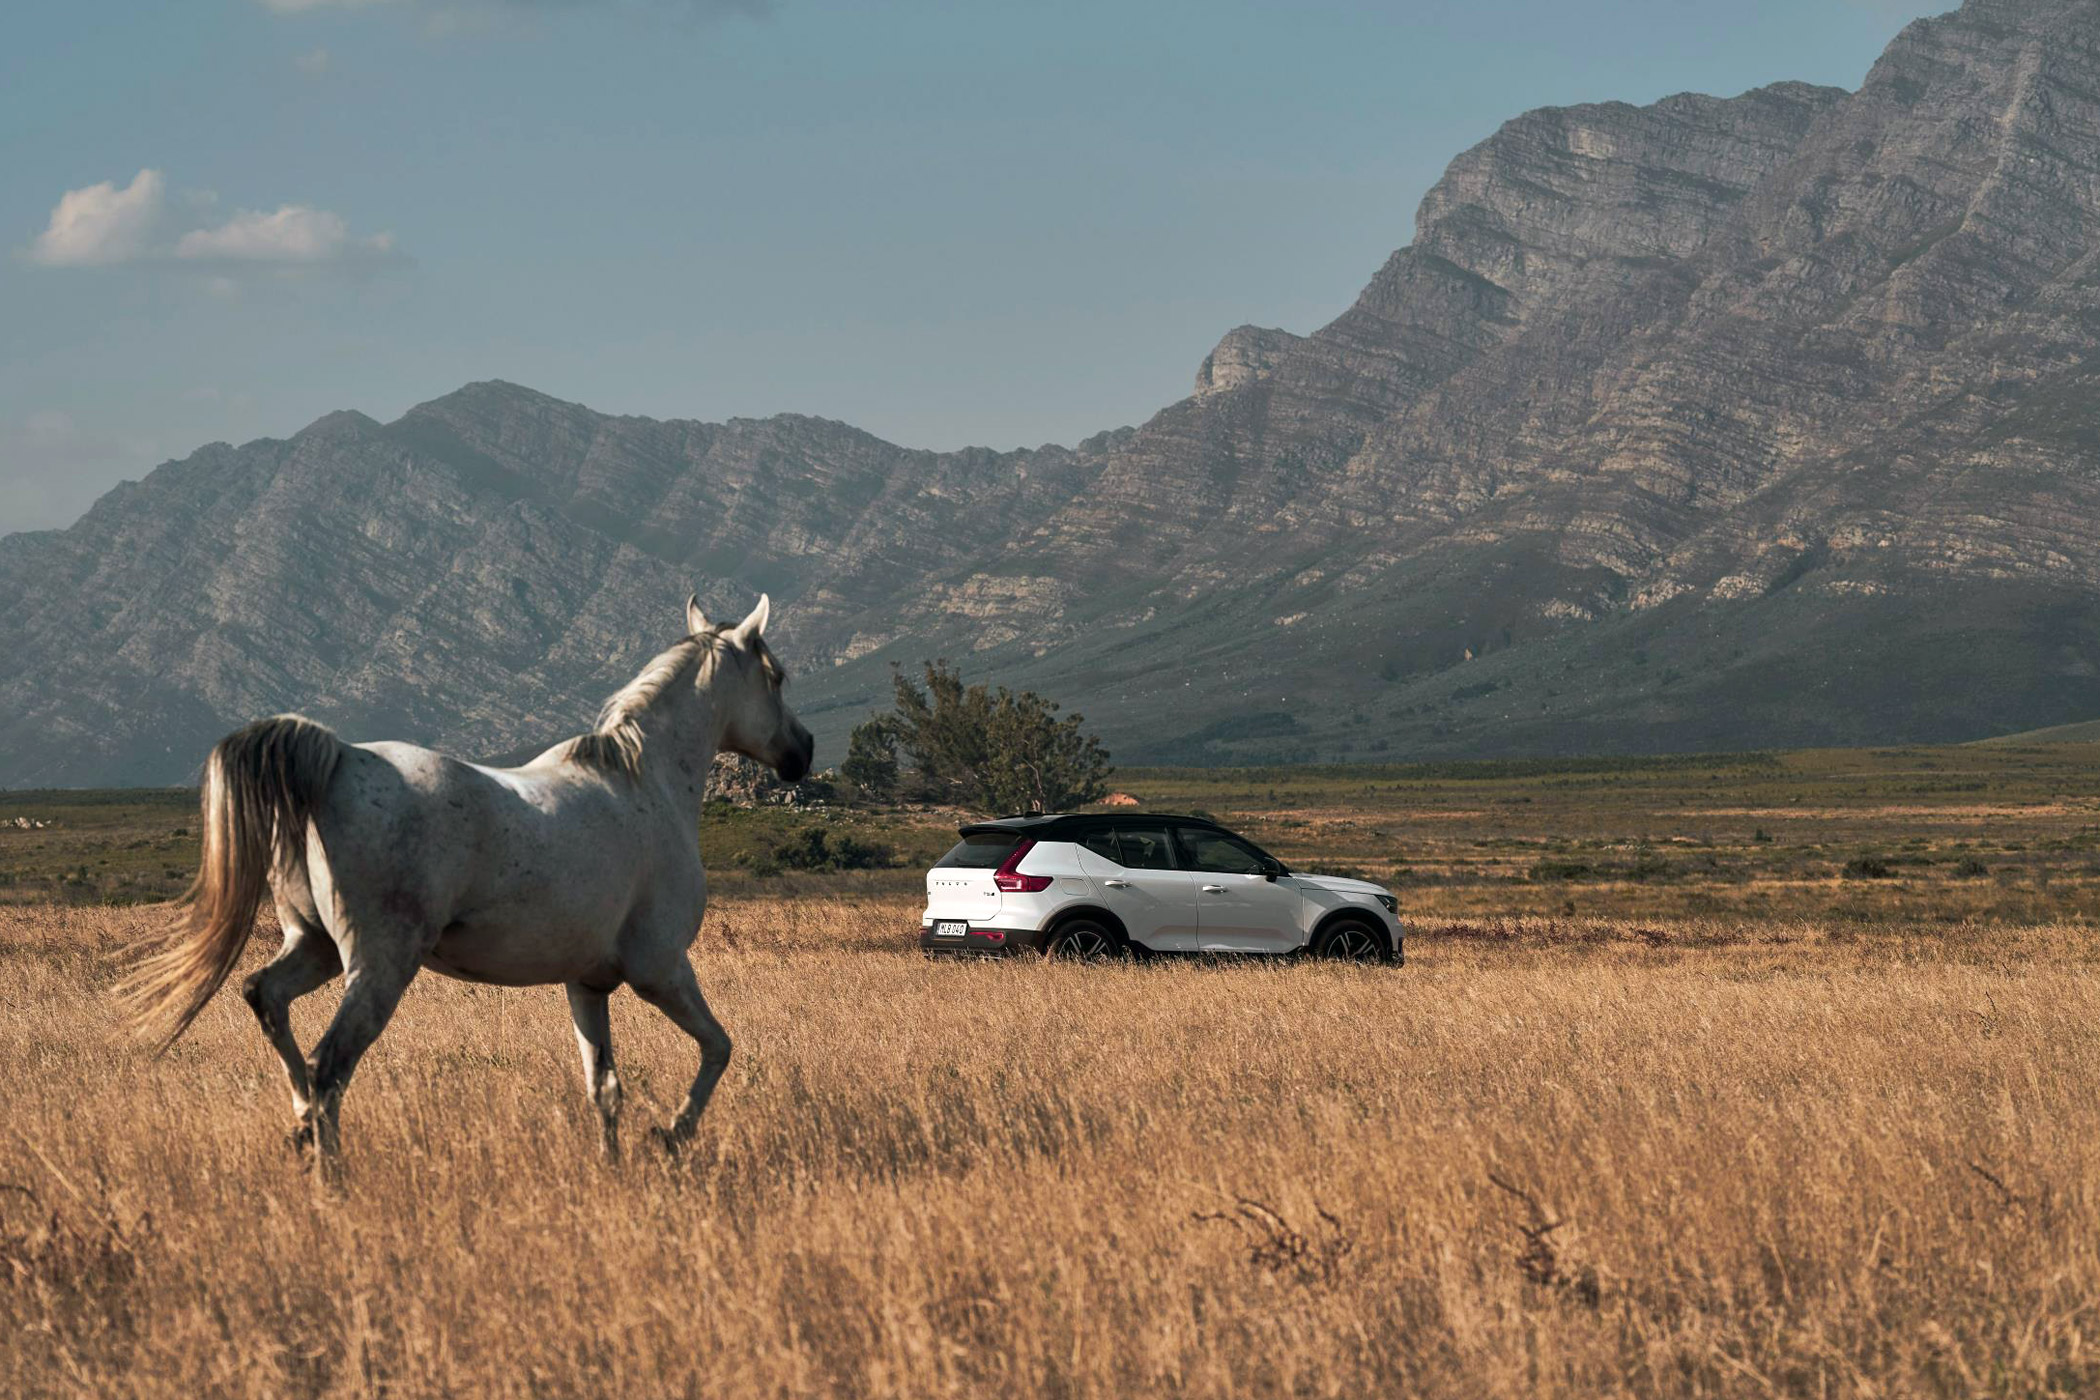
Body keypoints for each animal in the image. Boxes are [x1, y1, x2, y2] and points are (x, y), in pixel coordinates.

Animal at [122, 600, 810, 1175]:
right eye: (776, 676)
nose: (802, 752)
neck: (645, 783)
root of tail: (336, 757)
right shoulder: (661, 970)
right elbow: (718, 1048)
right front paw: (671, 1135)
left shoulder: (588, 984)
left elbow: (604, 1088)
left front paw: (613, 1168)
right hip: (378, 966)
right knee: (329, 1068)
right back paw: (330, 1176)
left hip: (314, 946)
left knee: (265, 999)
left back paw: (299, 1134)